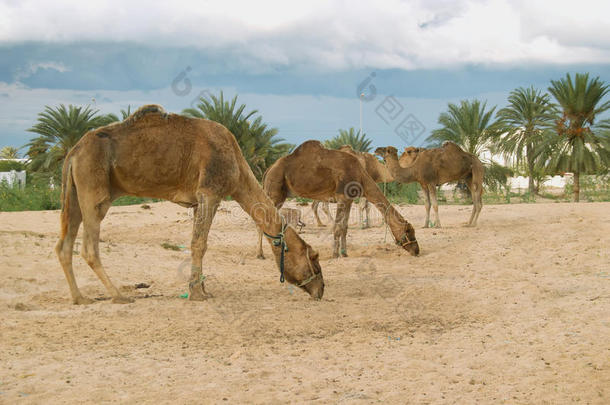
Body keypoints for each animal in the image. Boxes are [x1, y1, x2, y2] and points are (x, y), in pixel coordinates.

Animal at [55, 104, 324, 304]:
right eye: (314, 258)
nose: (321, 290)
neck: (237, 167)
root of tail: (74, 151)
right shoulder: (210, 192)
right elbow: (200, 244)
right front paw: (196, 294)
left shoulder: (197, 202)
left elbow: (197, 242)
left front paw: (203, 290)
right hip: (94, 188)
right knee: (89, 246)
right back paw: (119, 296)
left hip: (75, 192)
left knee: (64, 245)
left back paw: (80, 298)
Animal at [253, 140, 418, 258]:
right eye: (409, 232)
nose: (417, 250)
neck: (361, 174)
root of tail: (268, 169)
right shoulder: (342, 197)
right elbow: (338, 227)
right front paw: (334, 254)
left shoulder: (349, 200)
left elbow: (344, 227)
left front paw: (344, 253)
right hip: (275, 191)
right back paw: (260, 254)